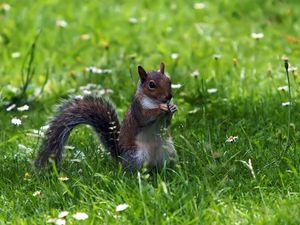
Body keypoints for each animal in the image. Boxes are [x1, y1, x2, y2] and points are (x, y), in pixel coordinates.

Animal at [35, 62, 177, 171]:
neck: (154, 101)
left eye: (169, 81)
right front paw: (161, 109)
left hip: (169, 150)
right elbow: (145, 117)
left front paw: (172, 108)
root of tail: (120, 159)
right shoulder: (138, 109)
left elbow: (166, 123)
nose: (169, 96)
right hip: (136, 156)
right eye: (151, 85)